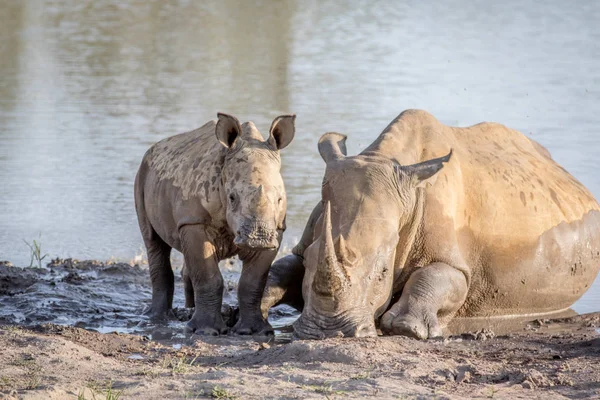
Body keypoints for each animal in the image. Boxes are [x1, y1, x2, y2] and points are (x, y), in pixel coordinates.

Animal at [136, 112, 296, 334]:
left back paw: (188, 310)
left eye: (280, 199)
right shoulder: (193, 222)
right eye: (232, 198)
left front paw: (253, 331)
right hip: (142, 173)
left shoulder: (277, 229)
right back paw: (159, 318)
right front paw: (205, 331)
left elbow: (253, 281)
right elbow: (208, 276)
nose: (258, 238)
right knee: (153, 242)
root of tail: (155, 147)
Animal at [264, 110, 600, 340]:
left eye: (383, 273)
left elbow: (438, 276)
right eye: (310, 260)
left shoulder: (457, 261)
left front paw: (407, 327)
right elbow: (282, 269)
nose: (327, 331)